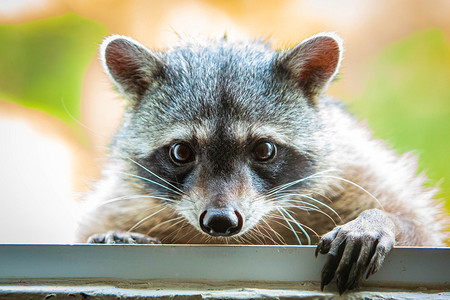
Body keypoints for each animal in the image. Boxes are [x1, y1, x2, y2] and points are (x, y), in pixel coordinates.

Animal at [75, 32, 444, 292]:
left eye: (264, 150)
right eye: (181, 152)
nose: (220, 221)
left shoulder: (353, 165)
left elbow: (421, 227)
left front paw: (378, 219)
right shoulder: (125, 199)